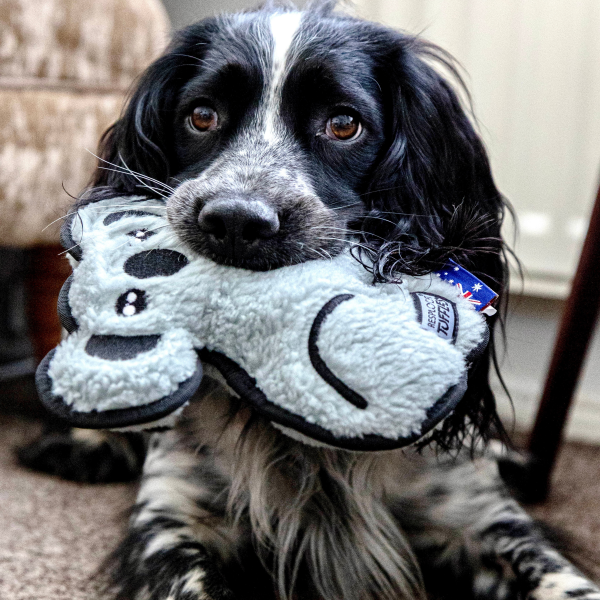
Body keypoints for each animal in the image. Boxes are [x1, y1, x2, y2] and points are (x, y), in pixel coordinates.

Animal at [17, 1, 600, 600]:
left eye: (343, 123)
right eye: (201, 116)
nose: (235, 220)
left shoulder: (479, 517)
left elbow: (562, 580)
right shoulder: (173, 520)